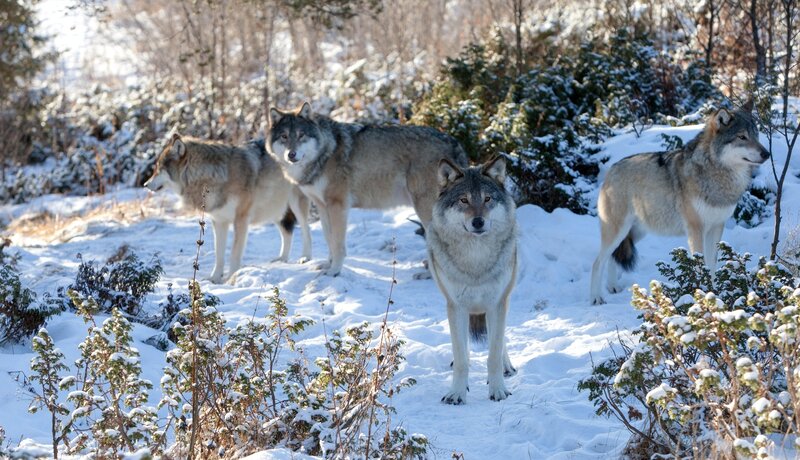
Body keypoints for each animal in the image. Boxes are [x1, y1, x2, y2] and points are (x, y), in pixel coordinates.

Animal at [144, 133, 312, 283]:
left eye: (158, 168)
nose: (145, 184)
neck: (214, 176)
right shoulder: (219, 221)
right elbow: (219, 254)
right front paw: (214, 278)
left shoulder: (241, 220)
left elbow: (234, 254)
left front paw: (231, 278)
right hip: (275, 209)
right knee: (287, 232)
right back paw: (282, 259)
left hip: (295, 204)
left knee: (306, 229)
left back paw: (306, 258)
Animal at [267, 102, 468, 276]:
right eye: (284, 137)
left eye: (301, 135)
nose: (291, 155)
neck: (325, 152)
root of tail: (454, 141)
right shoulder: (323, 206)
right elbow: (328, 238)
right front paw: (327, 265)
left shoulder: (338, 205)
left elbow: (337, 244)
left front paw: (334, 271)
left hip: (424, 209)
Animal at [427, 156, 518, 404]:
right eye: (463, 200)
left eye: (487, 199)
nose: (478, 222)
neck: (475, 261)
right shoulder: (456, 306)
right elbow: (461, 359)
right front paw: (457, 393)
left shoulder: (497, 303)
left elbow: (493, 354)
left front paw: (498, 390)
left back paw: (507, 366)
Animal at [590, 101, 770, 305]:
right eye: (742, 137)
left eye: (756, 136)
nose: (766, 153)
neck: (716, 174)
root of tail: (611, 169)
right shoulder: (696, 229)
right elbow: (700, 265)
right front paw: (702, 296)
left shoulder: (716, 227)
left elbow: (712, 265)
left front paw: (714, 296)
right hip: (618, 231)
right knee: (597, 262)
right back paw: (596, 298)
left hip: (636, 232)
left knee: (613, 257)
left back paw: (612, 287)